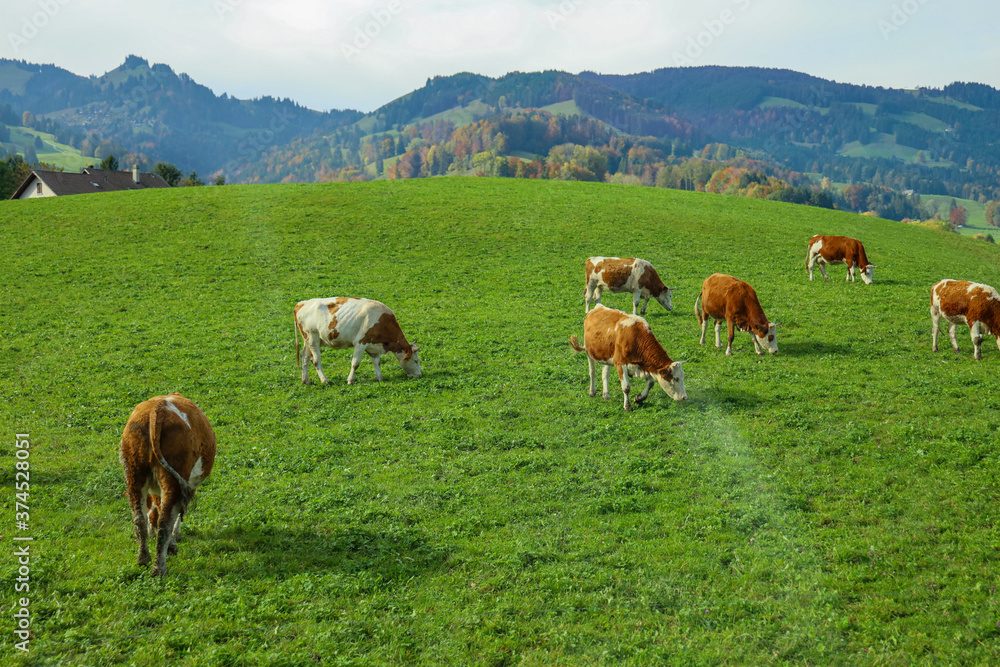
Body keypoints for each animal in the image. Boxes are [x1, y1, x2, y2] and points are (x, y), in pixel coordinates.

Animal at [120, 394, 216, 576]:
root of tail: (157, 409)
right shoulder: (187, 486)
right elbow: (177, 514)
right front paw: (175, 540)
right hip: (173, 478)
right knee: (165, 522)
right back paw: (159, 568)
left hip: (133, 474)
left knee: (139, 518)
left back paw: (143, 559)